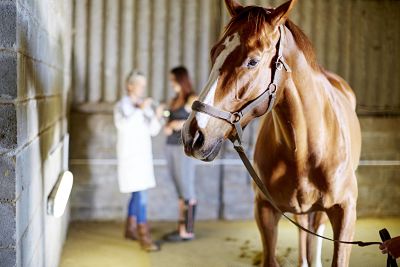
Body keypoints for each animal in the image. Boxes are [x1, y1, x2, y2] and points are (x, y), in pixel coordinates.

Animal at [183, 0, 360, 267]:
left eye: (253, 61)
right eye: (214, 52)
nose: (193, 135)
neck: (305, 150)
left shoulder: (345, 210)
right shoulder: (265, 209)